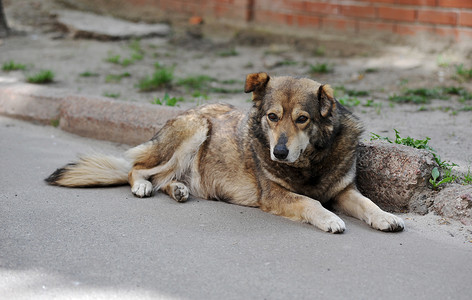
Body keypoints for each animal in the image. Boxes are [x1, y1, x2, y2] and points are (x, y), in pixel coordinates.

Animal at [46, 72, 404, 232]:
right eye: (272, 117)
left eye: (302, 119)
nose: (279, 152)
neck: (309, 163)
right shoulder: (275, 195)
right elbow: (310, 202)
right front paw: (329, 218)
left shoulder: (344, 191)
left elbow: (367, 203)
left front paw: (386, 217)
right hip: (197, 129)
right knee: (138, 169)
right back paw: (143, 187)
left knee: (164, 177)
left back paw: (178, 189)